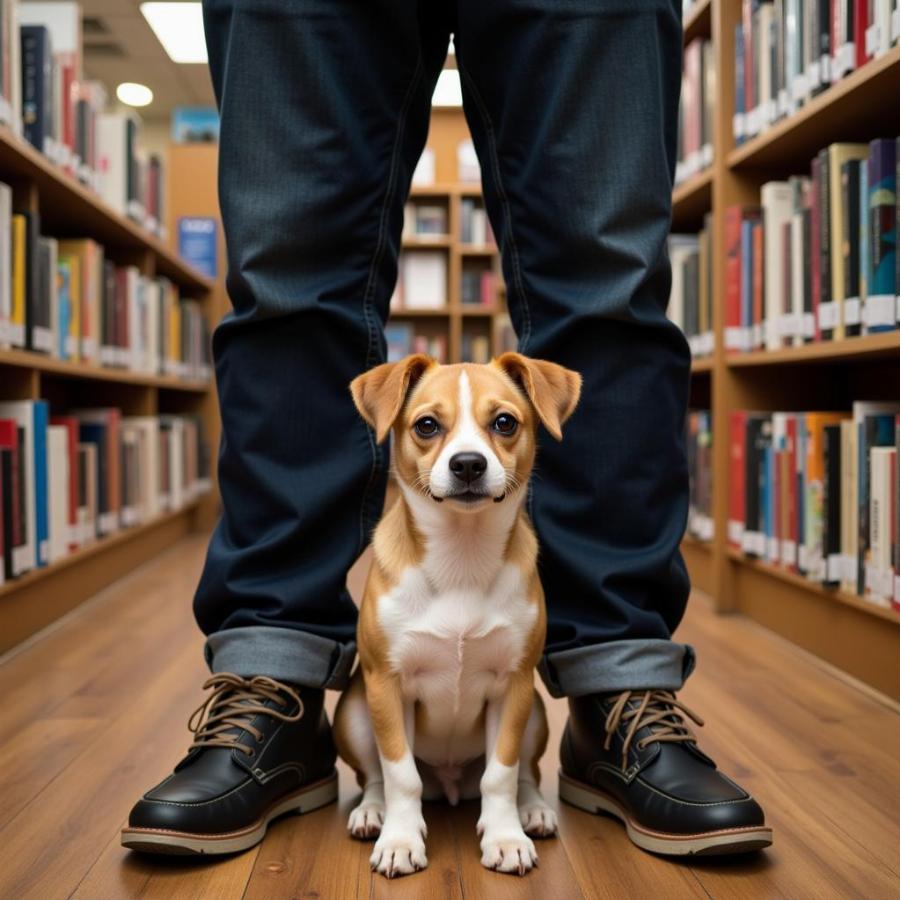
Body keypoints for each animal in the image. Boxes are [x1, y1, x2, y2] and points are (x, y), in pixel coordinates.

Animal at [334, 354, 580, 880]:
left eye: (504, 422)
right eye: (427, 425)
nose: (468, 463)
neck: (461, 556)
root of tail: (447, 784)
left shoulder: (513, 686)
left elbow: (501, 774)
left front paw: (506, 837)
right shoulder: (387, 684)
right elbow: (399, 774)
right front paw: (400, 840)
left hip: (535, 718)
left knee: (524, 774)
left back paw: (533, 810)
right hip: (355, 712)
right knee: (375, 777)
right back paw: (372, 812)